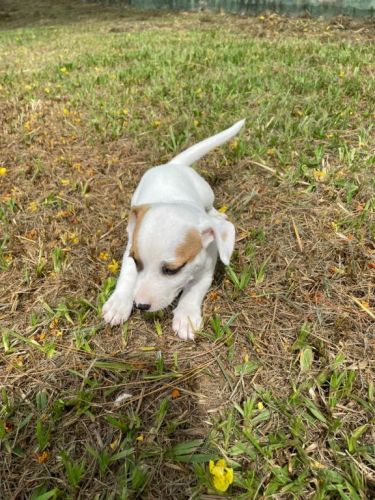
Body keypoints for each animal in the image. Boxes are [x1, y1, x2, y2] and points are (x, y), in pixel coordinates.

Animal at [103, 118, 245, 340]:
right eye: (137, 261)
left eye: (172, 270)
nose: (140, 305)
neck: (175, 201)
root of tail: (173, 165)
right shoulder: (130, 250)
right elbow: (126, 275)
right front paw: (118, 302)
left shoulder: (206, 272)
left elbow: (193, 291)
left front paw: (186, 317)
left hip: (206, 192)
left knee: (211, 207)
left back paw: (217, 215)